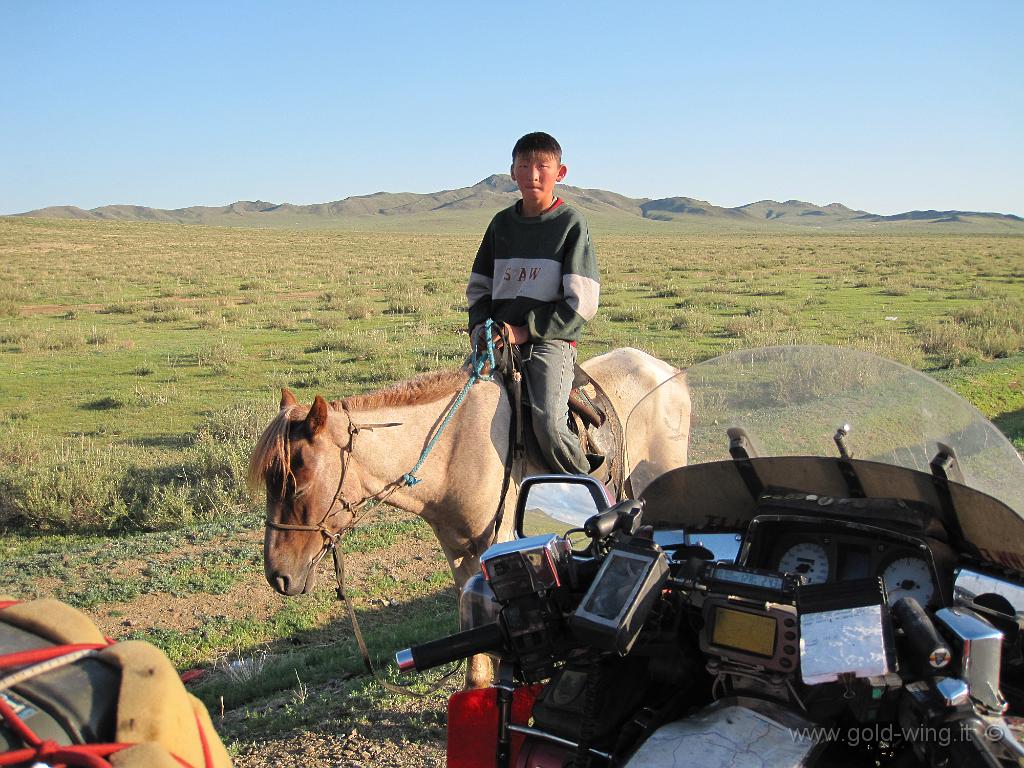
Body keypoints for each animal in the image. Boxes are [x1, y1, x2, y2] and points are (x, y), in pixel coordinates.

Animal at [246, 346, 688, 688]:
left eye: (298, 482)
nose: (278, 575)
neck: (453, 450)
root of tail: (666, 370)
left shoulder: (497, 544)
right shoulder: (457, 551)